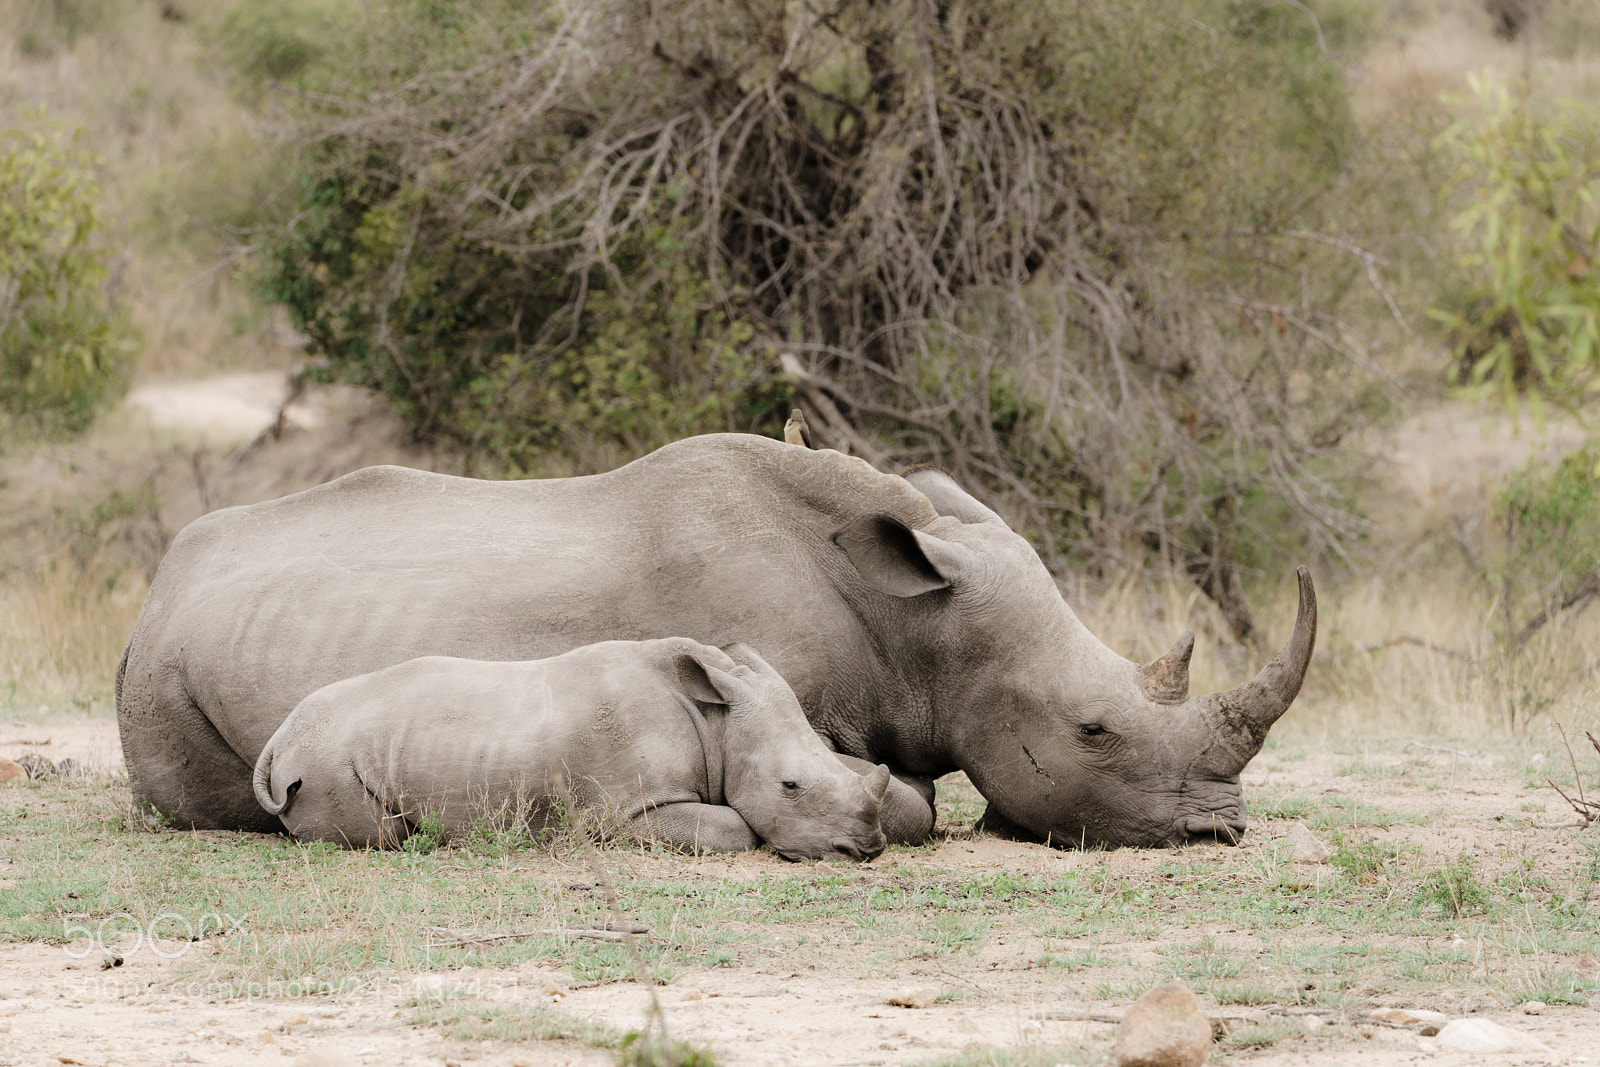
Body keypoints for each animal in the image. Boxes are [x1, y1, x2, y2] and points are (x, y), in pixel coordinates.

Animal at [252, 638, 890, 859]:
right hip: (322, 761)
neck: (717, 723)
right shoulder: (623, 810)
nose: (865, 851)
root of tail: (278, 739)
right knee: (385, 836)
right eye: (790, 786)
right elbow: (736, 829)